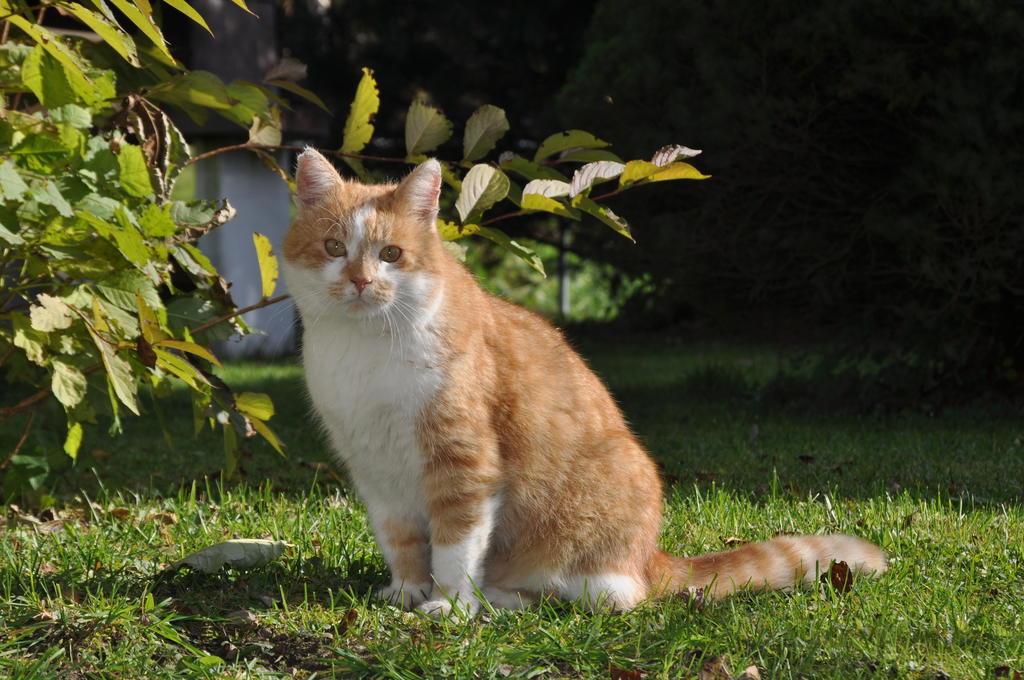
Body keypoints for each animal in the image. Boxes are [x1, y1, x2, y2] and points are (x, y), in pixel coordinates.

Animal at [282, 148, 888, 614]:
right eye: (335, 248)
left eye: (391, 254)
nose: (361, 281)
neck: (365, 351)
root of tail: (648, 558)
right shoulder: (377, 472)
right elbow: (402, 541)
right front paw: (408, 590)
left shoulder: (464, 465)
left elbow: (455, 546)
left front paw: (450, 604)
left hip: (594, 534)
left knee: (601, 597)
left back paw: (504, 598)